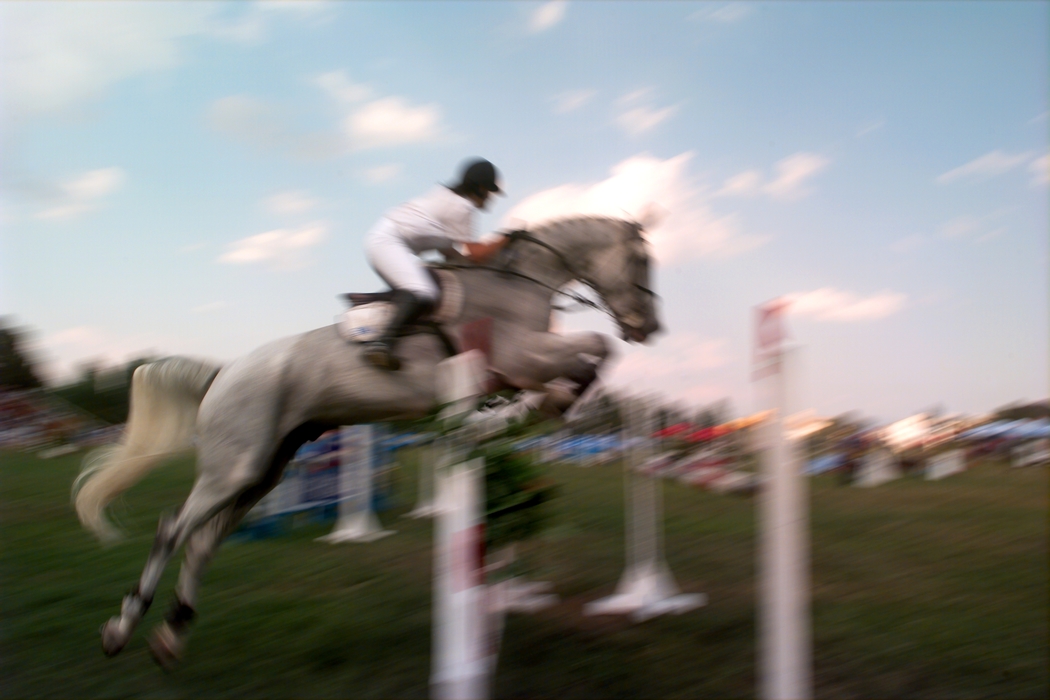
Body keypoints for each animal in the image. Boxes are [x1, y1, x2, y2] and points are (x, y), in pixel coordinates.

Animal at [74, 215, 655, 667]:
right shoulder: (520, 355)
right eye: (641, 263)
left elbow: (590, 354)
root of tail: (225, 373)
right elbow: (593, 348)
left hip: (263, 470)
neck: (518, 284)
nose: (648, 327)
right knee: (173, 529)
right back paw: (120, 629)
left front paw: (542, 405)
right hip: (232, 468)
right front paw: (553, 401)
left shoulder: (517, 365)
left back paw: (171, 637)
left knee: (200, 542)